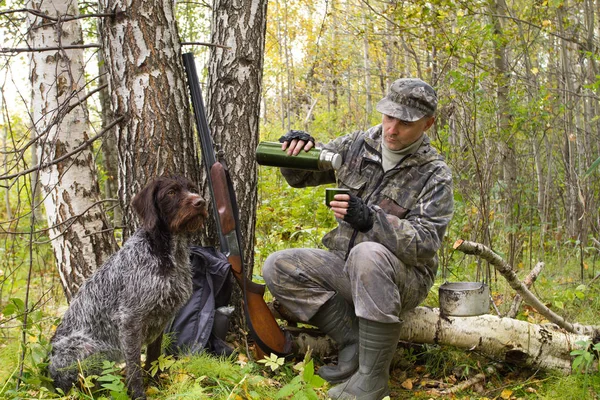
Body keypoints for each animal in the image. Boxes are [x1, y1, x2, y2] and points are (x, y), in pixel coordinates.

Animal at [47, 176, 206, 400]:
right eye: (171, 192)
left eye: (192, 189)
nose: (201, 202)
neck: (169, 253)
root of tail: (48, 373)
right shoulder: (130, 320)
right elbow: (134, 366)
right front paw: (138, 394)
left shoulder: (161, 318)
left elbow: (153, 358)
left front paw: (156, 385)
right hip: (85, 346)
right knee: (80, 385)